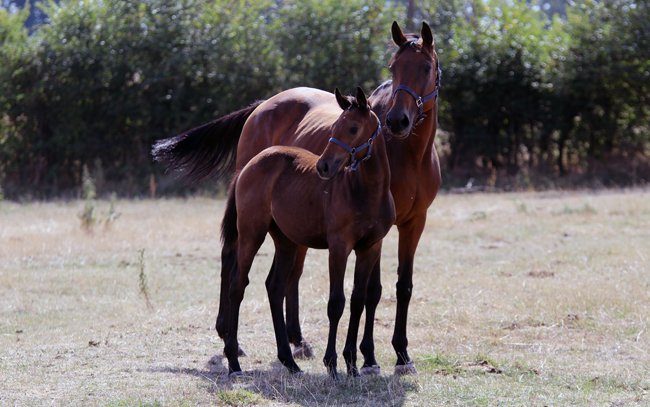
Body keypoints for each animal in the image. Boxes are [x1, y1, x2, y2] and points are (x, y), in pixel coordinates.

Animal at [223, 87, 395, 379]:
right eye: (333, 127)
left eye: (353, 128)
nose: (324, 167)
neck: (366, 192)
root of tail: (249, 165)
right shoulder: (339, 246)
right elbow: (336, 303)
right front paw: (332, 363)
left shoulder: (370, 247)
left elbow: (358, 300)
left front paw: (352, 364)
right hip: (251, 234)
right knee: (238, 284)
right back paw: (234, 362)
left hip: (286, 241)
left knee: (275, 286)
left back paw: (289, 361)